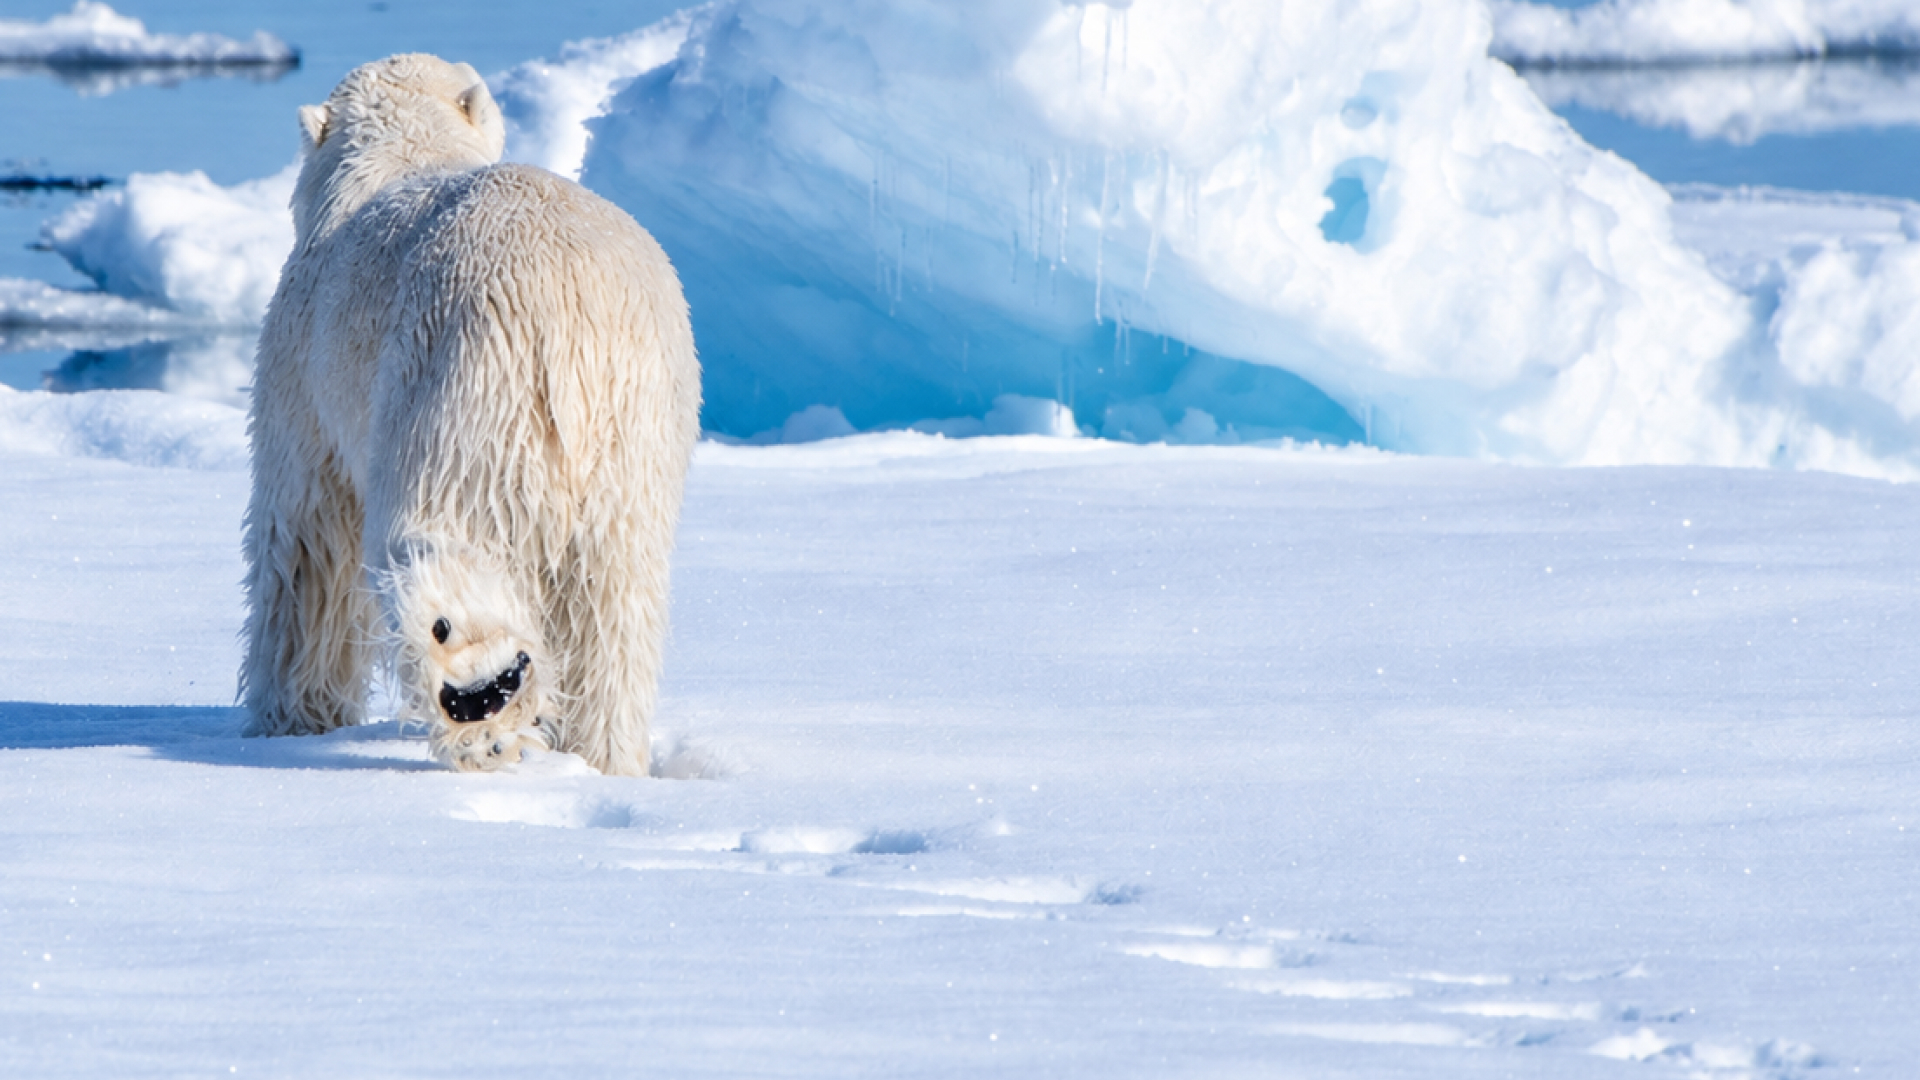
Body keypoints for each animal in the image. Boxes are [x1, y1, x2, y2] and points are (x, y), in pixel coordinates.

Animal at [238, 54, 701, 775]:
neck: (400, 157)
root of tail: (570, 314)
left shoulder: (301, 370)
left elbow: (308, 541)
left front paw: (292, 718)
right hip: (637, 433)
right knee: (615, 601)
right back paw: (600, 758)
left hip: (459, 389)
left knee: (436, 532)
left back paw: (480, 690)